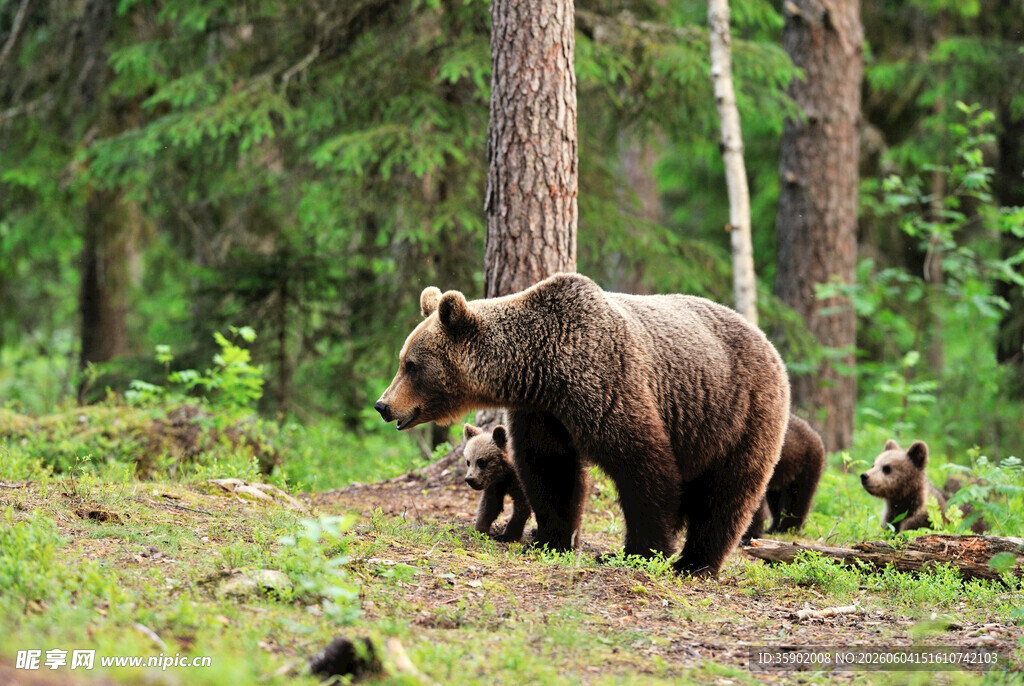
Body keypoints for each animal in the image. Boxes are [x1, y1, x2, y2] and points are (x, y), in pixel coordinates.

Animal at [374, 273, 790, 577]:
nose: (383, 405)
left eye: (411, 364)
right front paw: (551, 539)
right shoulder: (542, 412)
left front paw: (642, 550)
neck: (542, 370)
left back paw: (695, 563)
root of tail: (769, 343)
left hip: (738, 413)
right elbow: (550, 469)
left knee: (726, 494)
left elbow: (642, 465)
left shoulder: (607, 383)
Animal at [742, 414, 825, 542]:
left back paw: (787, 529)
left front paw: (750, 536)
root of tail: (814, 432)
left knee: (798, 499)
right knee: (775, 502)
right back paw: (773, 528)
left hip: (804, 465)